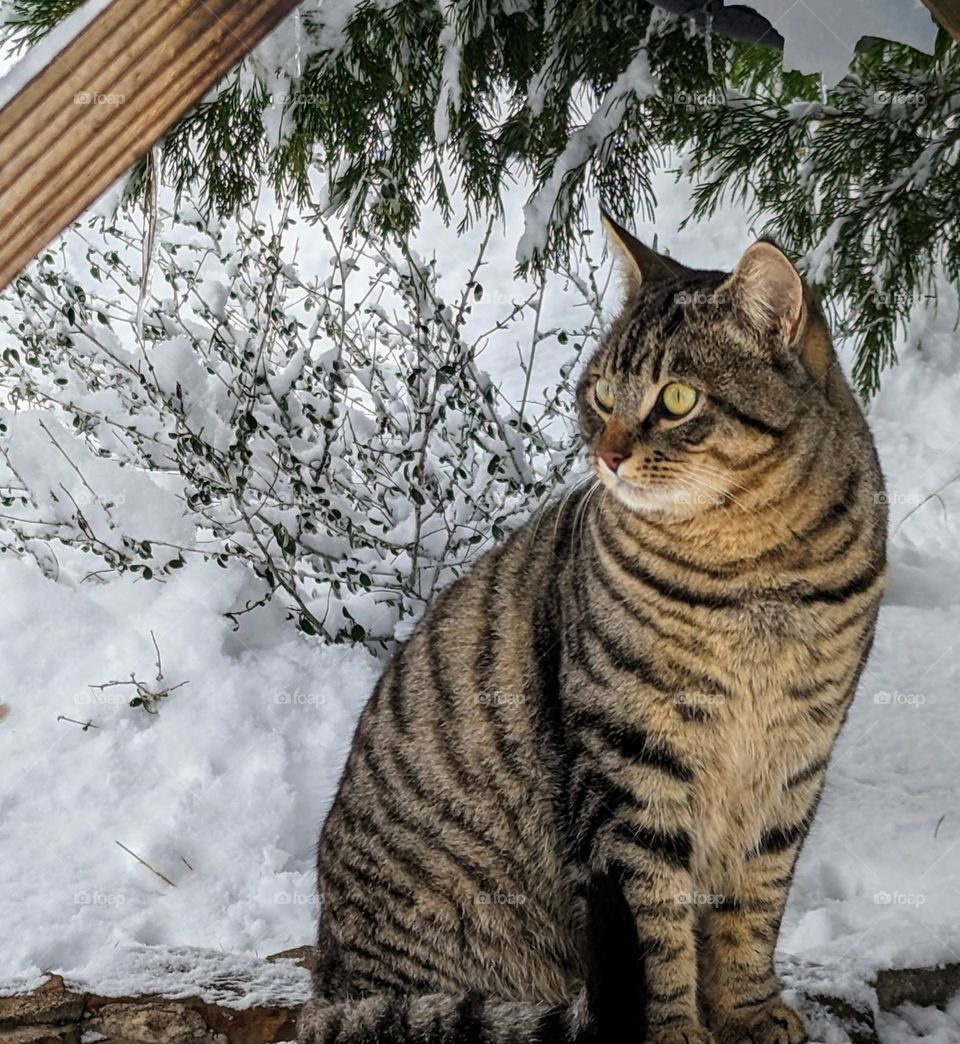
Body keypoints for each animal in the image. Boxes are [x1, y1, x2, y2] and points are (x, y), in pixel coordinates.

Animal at [298, 214, 884, 1044]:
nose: (606, 456)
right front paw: (675, 1031)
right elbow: (654, 935)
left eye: (677, 398)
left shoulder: (794, 761)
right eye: (603, 393)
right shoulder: (630, 772)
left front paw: (748, 1009)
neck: (755, 576)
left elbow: (754, 907)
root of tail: (330, 991)